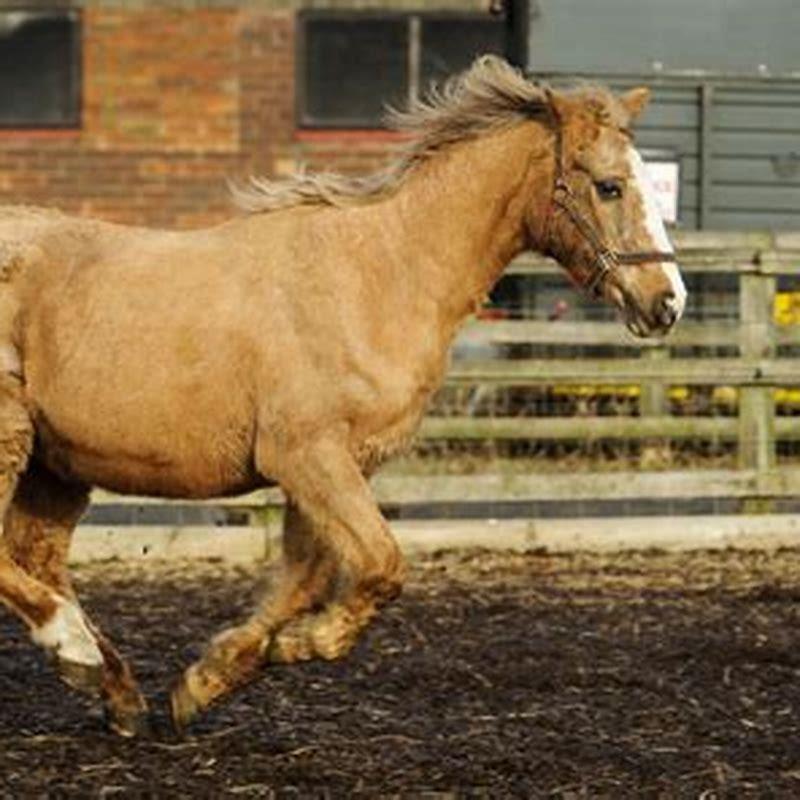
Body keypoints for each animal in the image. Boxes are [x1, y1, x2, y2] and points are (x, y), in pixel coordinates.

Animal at [0, 56, 685, 736]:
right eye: (610, 186)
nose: (668, 302)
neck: (380, 275)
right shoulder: (307, 455)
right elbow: (381, 566)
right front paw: (296, 645)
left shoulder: (335, 467)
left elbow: (306, 581)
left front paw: (212, 676)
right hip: (15, 439)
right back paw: (74, 647)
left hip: (56, 465)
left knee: (35, 554)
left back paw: (114, 688)